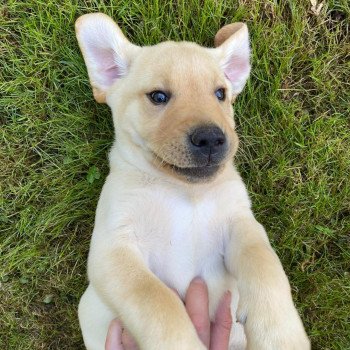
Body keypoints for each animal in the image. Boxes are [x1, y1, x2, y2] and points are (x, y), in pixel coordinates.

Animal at [74, 12, 308, 348]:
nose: (211, 138)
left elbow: (264, 262)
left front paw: (279, 332)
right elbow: (156, 300)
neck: (182, 191)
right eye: (158, 96)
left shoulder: (241, 224)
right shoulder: (113, 250)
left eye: (221, 94)